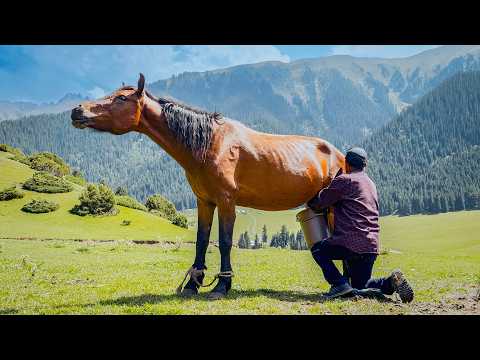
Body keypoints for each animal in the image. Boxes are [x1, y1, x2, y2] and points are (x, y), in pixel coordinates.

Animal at [71, 72, 344, 298]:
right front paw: (193, 284)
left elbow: (224, 242)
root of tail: (338, 154)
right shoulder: (205, 201)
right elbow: (202, 241)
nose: (77, 111)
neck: (210, 144)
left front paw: (222, 285)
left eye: (120, 98)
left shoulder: (226, 202)